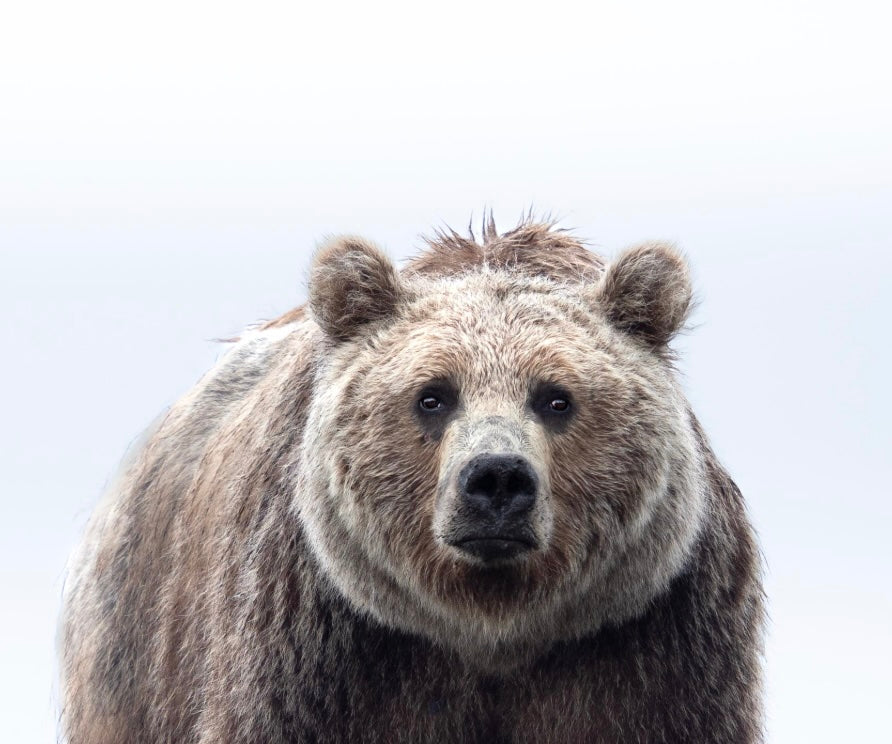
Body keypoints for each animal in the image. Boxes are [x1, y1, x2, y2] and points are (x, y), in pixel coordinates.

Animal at [59, 219, 764, 744]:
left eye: (556, 398)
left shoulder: (651, 646)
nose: (496, 479)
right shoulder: (322, 655)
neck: (491, 631)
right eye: (433, 396)